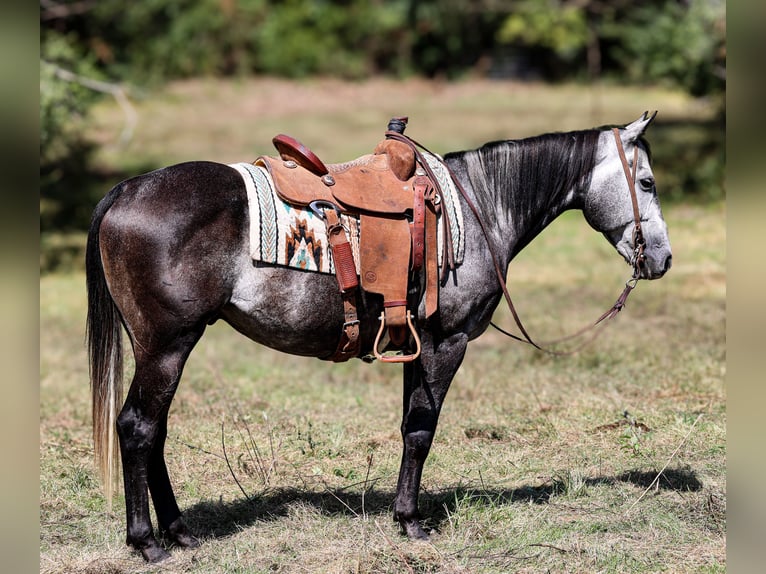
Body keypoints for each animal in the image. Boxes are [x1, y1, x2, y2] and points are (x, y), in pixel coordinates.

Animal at [85, 112, 672, 564]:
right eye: (646, 184)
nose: (663, 259)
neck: (479, 206)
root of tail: (128, 188)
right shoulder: (445, 342)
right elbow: (421, 430)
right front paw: (411, 521)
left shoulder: (417, 343)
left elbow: (411, 426)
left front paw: (402, 513)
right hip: (167, 345)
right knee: (138, 427)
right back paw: (147, 543)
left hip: (161, 346)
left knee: (155, 431)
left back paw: (180, 532)